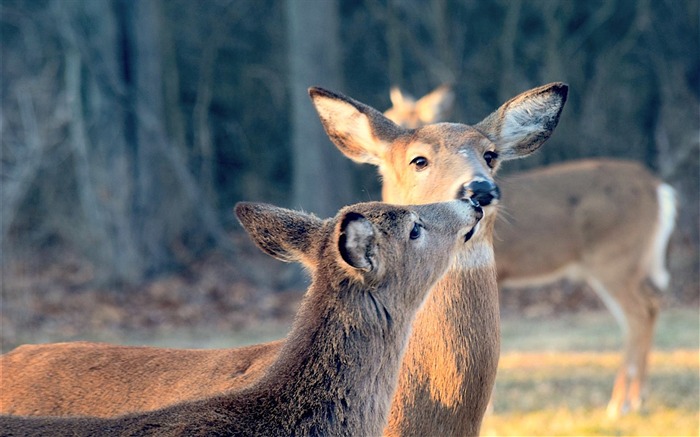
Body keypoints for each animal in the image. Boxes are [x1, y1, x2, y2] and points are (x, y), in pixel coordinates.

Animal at [382, 84, 680, 416]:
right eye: (391, 115)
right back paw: (637, 397)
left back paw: (620, 404)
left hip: (615, 260)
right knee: (649, 308)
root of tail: (660, 188)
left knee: (638, 314)